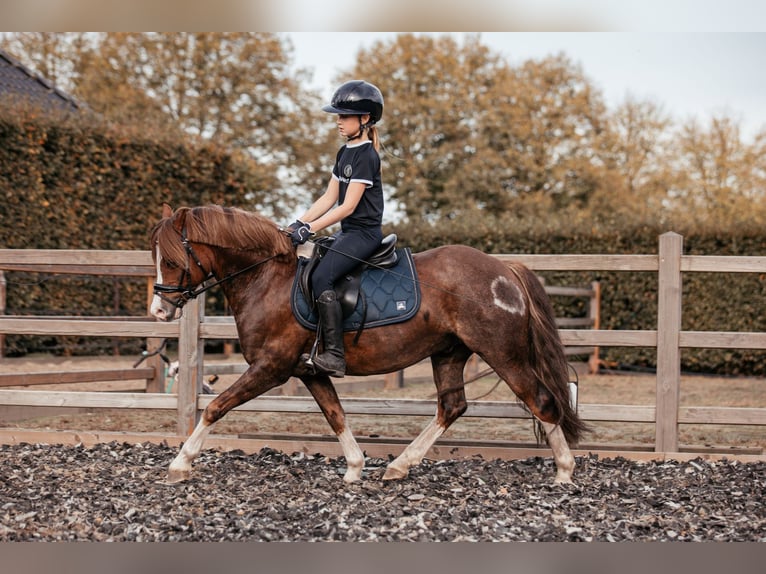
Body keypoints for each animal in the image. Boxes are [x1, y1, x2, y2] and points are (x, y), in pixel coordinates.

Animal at [150, 207, 588, 486]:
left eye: (171, 260)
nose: (159, 310)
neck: (267, 277)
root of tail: (504, 270)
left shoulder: (270, 367)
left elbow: (216, 407)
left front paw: (179, 464)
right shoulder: (308, 371)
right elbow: (336, 416)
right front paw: (355, 467)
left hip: (502, 353)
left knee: (541, 401)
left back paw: (564, 472)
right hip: (449, 353)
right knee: (452, 406)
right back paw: (400, 466)